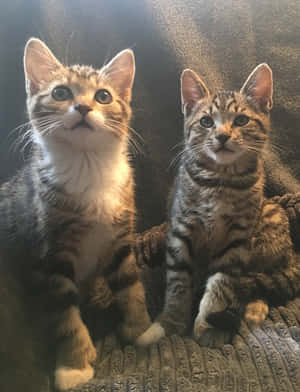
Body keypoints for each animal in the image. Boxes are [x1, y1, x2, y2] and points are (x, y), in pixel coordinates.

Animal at [0, 39, 151, 388]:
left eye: (103, 96)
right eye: (60, 92)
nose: (83, 108)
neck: (87, 165)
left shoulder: (120, 239)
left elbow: (130, 285)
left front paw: (143, 330)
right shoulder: (50, 254)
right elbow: (65, 316)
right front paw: (74, 366)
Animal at [138, 62, 300, 348]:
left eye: (241, 120)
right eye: (206, 122)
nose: (223, 136)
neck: (219, 181)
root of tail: (292, 255)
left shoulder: (237, 240)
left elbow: (222, 283)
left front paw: (208, 323)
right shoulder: (181, 230)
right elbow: (178, 282)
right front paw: (170, 323)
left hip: (269, 228)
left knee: (259, 281)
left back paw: (254, 307)